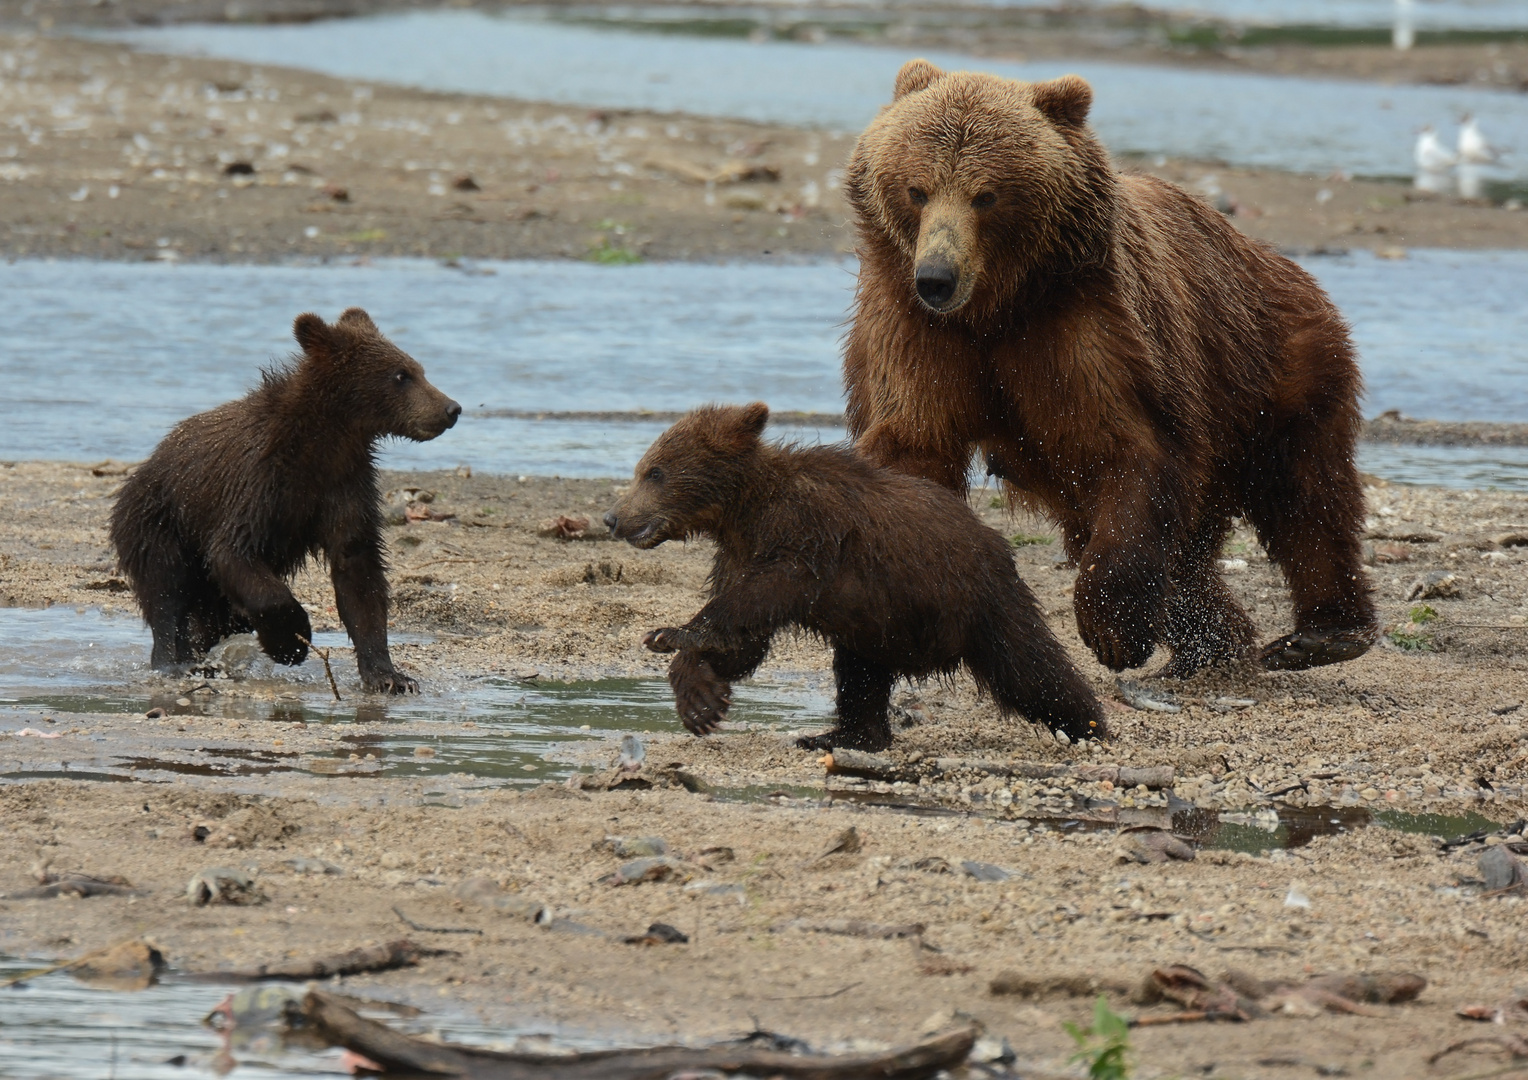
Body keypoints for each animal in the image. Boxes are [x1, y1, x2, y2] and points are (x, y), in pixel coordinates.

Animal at [109, 308, 458, 693]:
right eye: (401, 374)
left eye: (418, 369)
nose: (451, 408)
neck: (326, 442)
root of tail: (139, 471)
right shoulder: (259, 486)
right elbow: (235, 554)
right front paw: (290, 642)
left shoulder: (346, 488)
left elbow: (359, 572)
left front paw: (389, 675)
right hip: (159, 524)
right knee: (168, 596)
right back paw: (175, 661)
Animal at [843, 56, 1381, 675]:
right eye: (917, 189)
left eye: (987, 195)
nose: (937, 277)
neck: (997, 307)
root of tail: (1270, 256)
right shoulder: (916, 329)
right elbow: (915, 439)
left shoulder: (1088, 323)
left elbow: (1125, 442)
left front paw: (1114, 627)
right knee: (1194, 546)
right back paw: (1214, 642)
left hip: (1277, 364)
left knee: (1305, 495)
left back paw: (1321, 633)